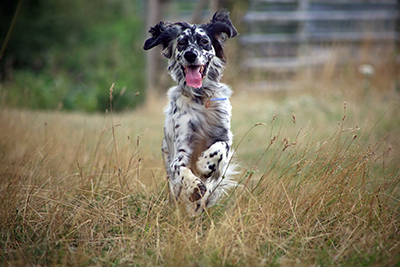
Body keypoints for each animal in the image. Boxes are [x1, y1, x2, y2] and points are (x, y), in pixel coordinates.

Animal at [143, 9, 238, 216]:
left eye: (204, 41)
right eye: (181, 43)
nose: (190, 54)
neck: (201, 98)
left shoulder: (224, 136)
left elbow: (220, 148)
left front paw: (204, 164)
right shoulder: (182, 149)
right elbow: (181, 168)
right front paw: (195, 186)